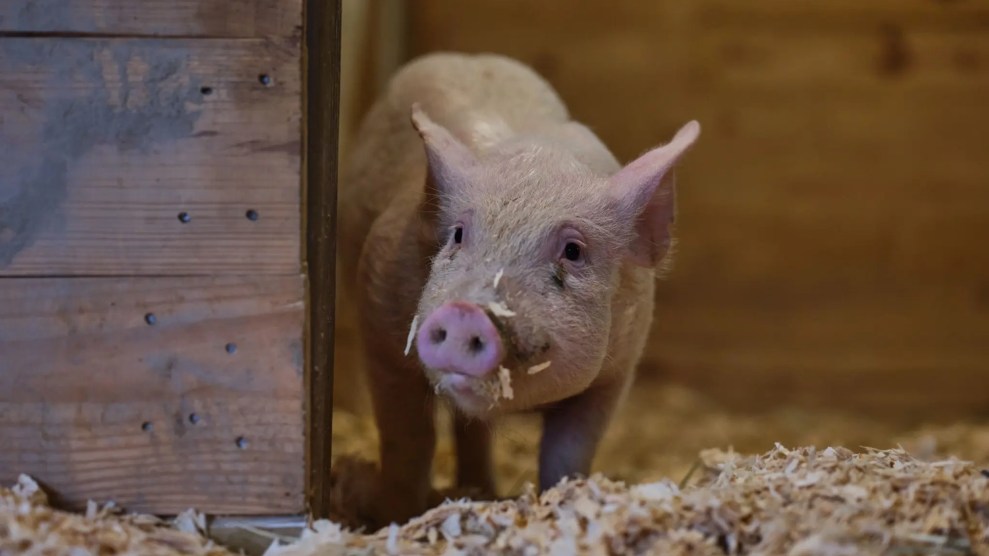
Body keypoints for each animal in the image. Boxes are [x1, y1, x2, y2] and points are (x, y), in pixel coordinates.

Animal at [337, 52, 699, 527]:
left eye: (573, 250)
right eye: (458, 234)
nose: (465, 311)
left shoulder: (616, 373)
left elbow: (568, 454)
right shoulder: (380, 328)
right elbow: (408, 443)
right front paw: (395, 518)